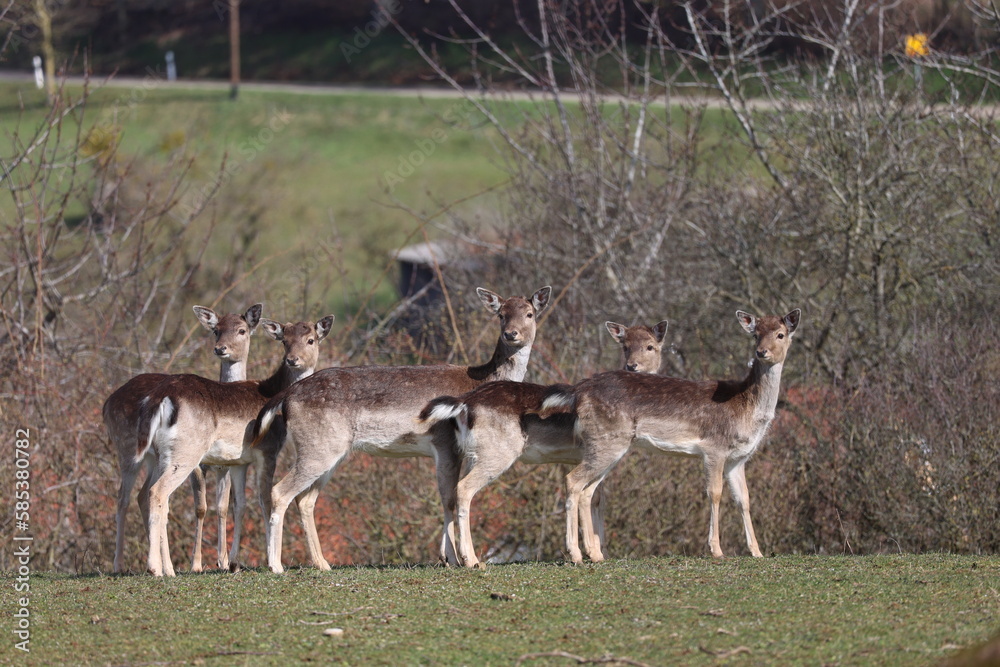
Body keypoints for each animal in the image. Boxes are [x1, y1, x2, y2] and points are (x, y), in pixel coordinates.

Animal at [105, 303, 262, 574]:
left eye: (242, 330)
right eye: (216, 330)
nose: (221, 348)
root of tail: (107, 403)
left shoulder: (225, 465)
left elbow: (222, 507)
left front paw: (222, 561)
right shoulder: (199, 464)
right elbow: (201, 507)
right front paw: (196, 564)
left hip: (155, 459)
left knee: (144, 496)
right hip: (128, 450)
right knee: (124, 498)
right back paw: (122, 564)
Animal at [137, 314, 335, 576]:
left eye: (310, 339)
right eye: (284, 340)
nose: (293, 360)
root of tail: (160, 399)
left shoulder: (240, 461)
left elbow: (239, 504)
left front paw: (234, 563)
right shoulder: (267, 451)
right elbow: (265, 499)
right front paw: (272, 561)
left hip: (161, 455)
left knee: (153, 496)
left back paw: (166, 567)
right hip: (186, 453)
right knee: (158, 492)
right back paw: (158, 568)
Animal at [250, 286, 552, 574]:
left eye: (529, 314)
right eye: (500, 314)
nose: (511, 334)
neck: (479, 379)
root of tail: (286, 397)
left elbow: (447, 496)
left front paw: (448, 558)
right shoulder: (445, 442)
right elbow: (449, 497)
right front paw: (458, 558)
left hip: (330, 452)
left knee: (305, 499)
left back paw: (322, 564)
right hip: (318, 448)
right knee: (279, 492)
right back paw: (276, 565)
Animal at [418, 319, 669, 568]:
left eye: (650, 347)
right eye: (625, 346)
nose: (633, 366)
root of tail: (464, 403)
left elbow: (597, 498)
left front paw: (599, 552)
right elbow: (592, 497)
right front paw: (595, 553)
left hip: (474, 453)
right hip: (497, 452)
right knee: (463, 489)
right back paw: (471, 559)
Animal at [540, 309, 801, 564]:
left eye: (780, 334)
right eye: (755, 335)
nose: (762, 352)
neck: (747, 409)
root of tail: (578, 390)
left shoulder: (738, 459)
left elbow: (744, 499)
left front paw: (757, 551)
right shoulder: (714, 448)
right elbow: (715, 493)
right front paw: (716, 550)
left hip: (605, 445)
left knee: (588, 490)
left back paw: (594, 554)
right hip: (606, 442)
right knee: (572, 480)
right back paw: (575, 554)